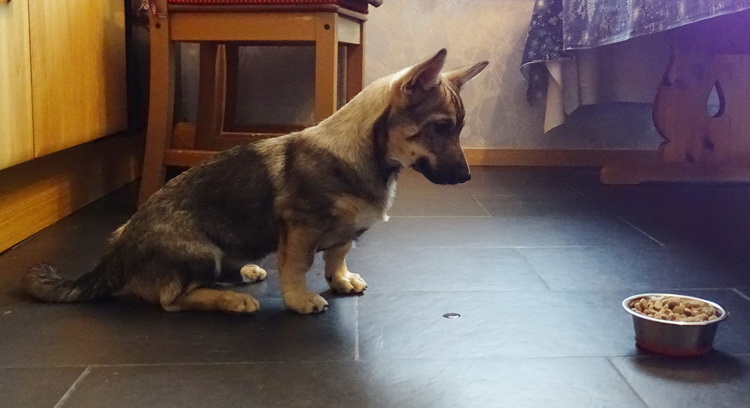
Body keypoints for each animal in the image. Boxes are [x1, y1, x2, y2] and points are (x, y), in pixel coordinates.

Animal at [22, 49, 488, 315]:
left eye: (458, 128)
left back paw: (244, 270)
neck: (368, 155)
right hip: (199, 253)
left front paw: (341, 280)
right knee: (173, 300)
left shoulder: (344, 232)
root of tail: (115, 255)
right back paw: (230, 300)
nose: (467, 177)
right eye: (440, 127)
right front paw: (301, 301)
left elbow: (338, 255)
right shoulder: (301, 228)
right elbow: (298, 266)